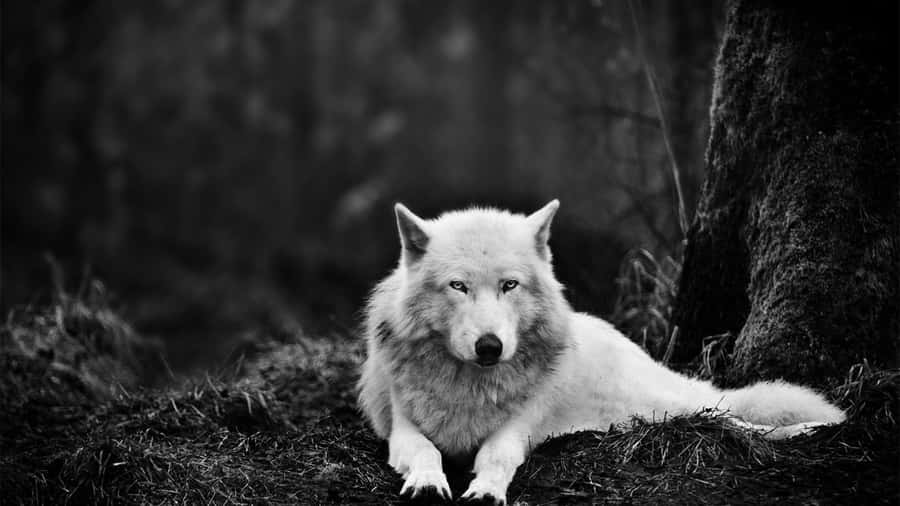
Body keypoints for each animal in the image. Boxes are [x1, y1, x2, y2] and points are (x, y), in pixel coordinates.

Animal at [358, 200, 845, 504]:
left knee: (733, 417)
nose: (490, 346)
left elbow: (495, 457)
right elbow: (427, 453)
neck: (471, 386)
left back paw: (813, 427)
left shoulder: (516, 430)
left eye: (509, 285)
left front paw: (485, 492)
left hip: (666, 407)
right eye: (458, 286)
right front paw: (427, 483)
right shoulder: (402, 430)